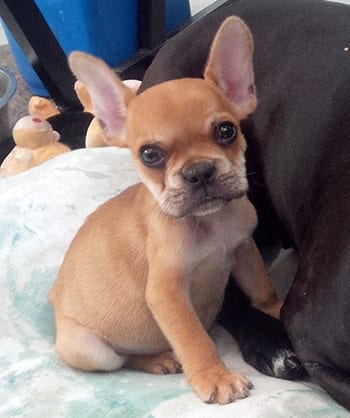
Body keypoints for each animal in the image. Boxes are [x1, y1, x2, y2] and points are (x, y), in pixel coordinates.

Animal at [48, 17, 282, 404]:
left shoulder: (244, 248)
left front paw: (276, 310)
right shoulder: (167, 292)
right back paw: (158, 359)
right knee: (123, 358)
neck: (211, 221)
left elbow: (262, 287)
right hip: (90, 349)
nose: (199, 171)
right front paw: (214, 376)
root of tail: (54, 301)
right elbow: (194, 338)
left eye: (226, 131)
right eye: (150, 155)